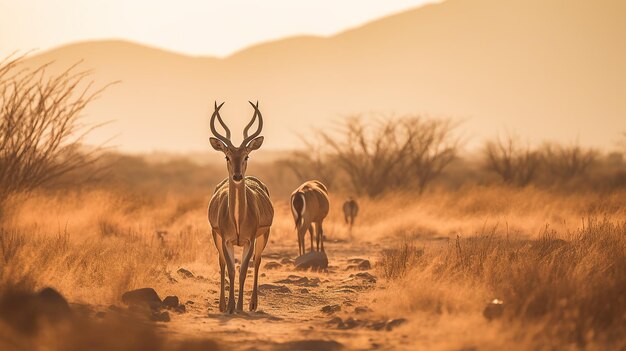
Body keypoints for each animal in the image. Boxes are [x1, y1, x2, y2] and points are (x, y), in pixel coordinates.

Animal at [207, 101, 272, 314]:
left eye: (246, 157)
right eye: (227, 157)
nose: (237, 176)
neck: (237, 218)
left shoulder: (249, 241)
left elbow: (243, 271)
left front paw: (240, 307)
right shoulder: (226, 240)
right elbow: (231, 270)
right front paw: (229, 307)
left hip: (263, 236)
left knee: (258, 262)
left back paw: (252, 304)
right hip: (216, 237)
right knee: (221, 264)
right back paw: (221, 305)